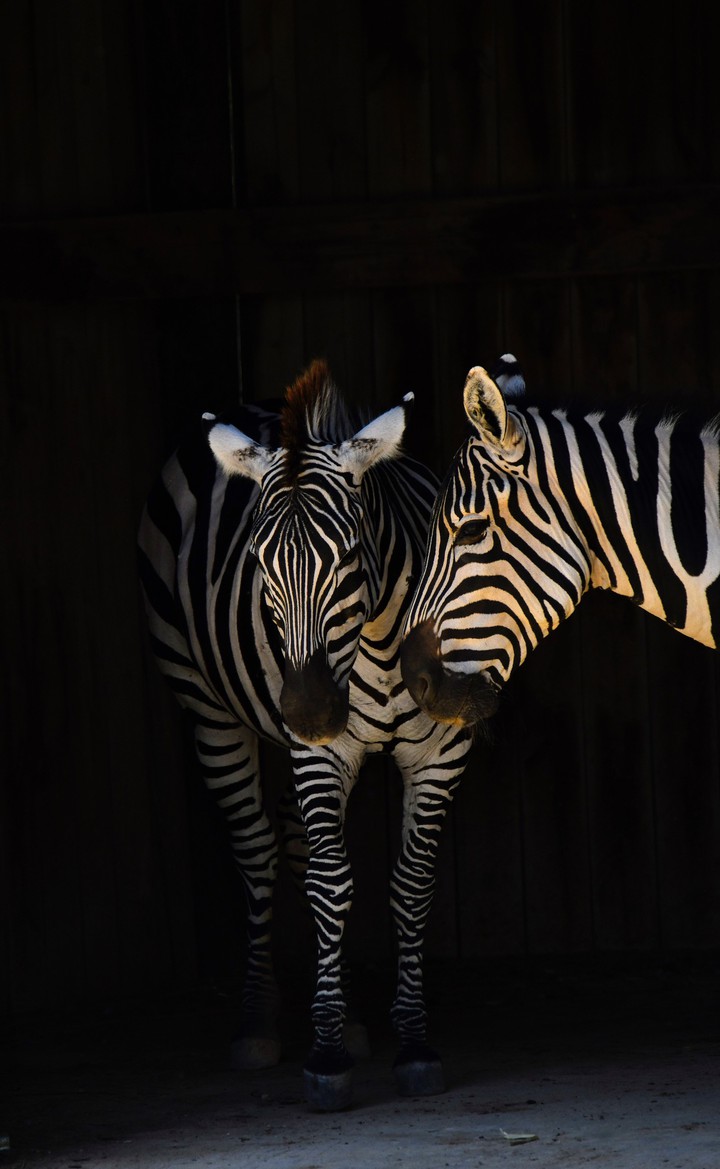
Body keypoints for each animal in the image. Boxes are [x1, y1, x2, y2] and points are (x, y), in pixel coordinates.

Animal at [138, 360, 473, 1110]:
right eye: (258, 561)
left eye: (349, 555)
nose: (311, 711)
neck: (378, 641)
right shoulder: (319, 754)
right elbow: (330, 884)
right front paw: (324, 1055)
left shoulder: (440, 750)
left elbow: (410, 884)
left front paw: (412, 1039)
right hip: (209, 711)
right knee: (261, 852)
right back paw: (258, 1020)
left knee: (293, 845)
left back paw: (348, 1018)